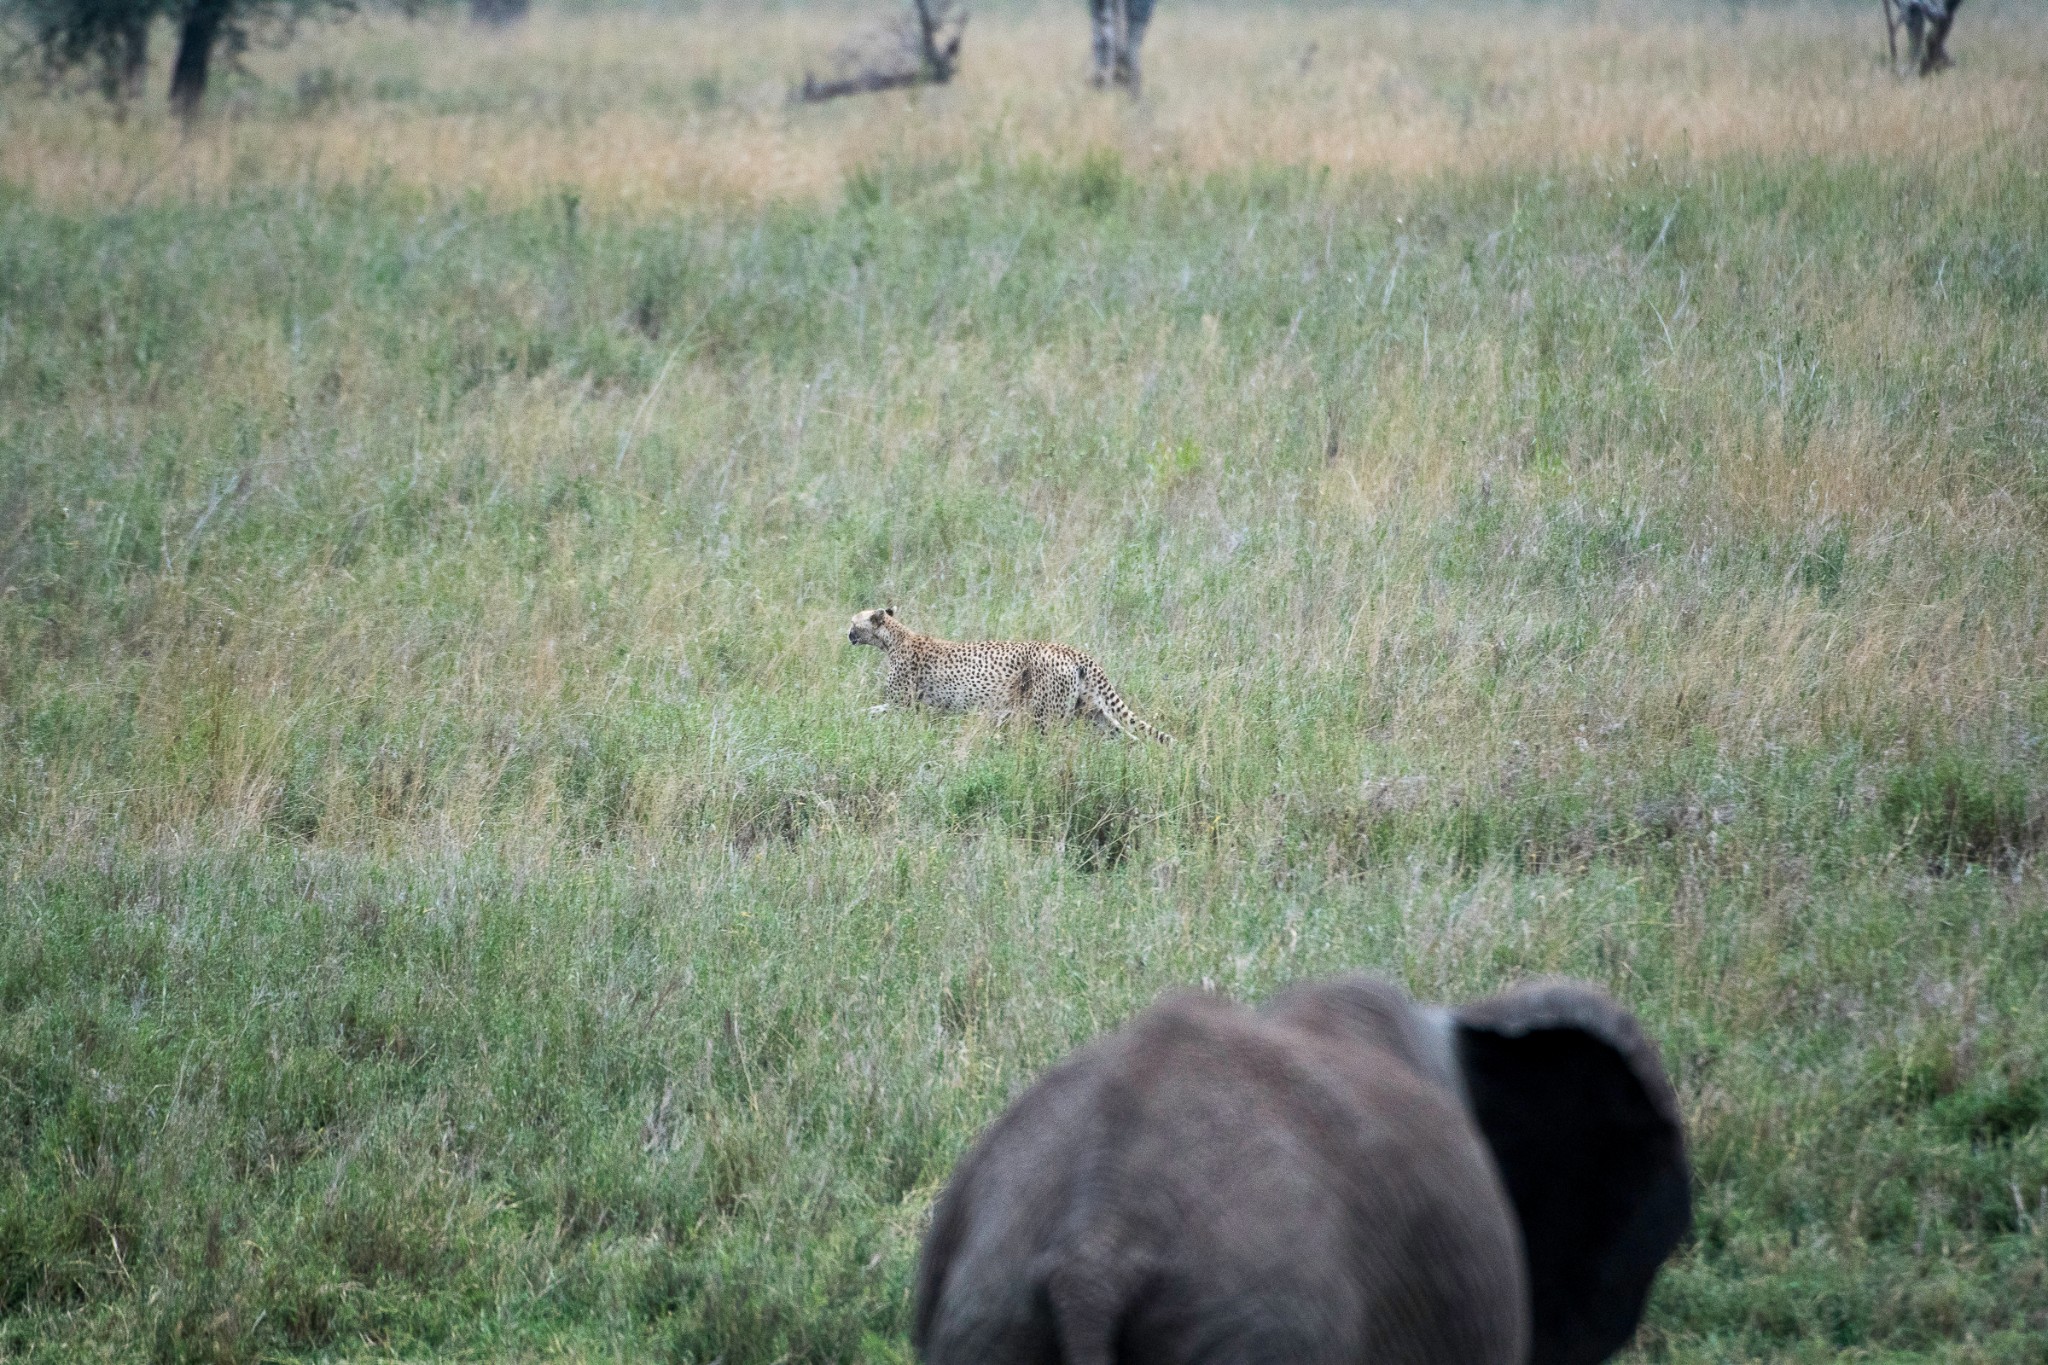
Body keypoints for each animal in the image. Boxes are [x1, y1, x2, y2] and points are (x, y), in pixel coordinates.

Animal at [843, 609, 1171, 740]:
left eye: (854, 622)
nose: (848, 634)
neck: (894, 638)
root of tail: (1071, 650)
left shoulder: (903, 704)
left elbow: (874, 710)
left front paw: (851, 717)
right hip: (1094, 713)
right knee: (1129, 738)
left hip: (1047, 717)